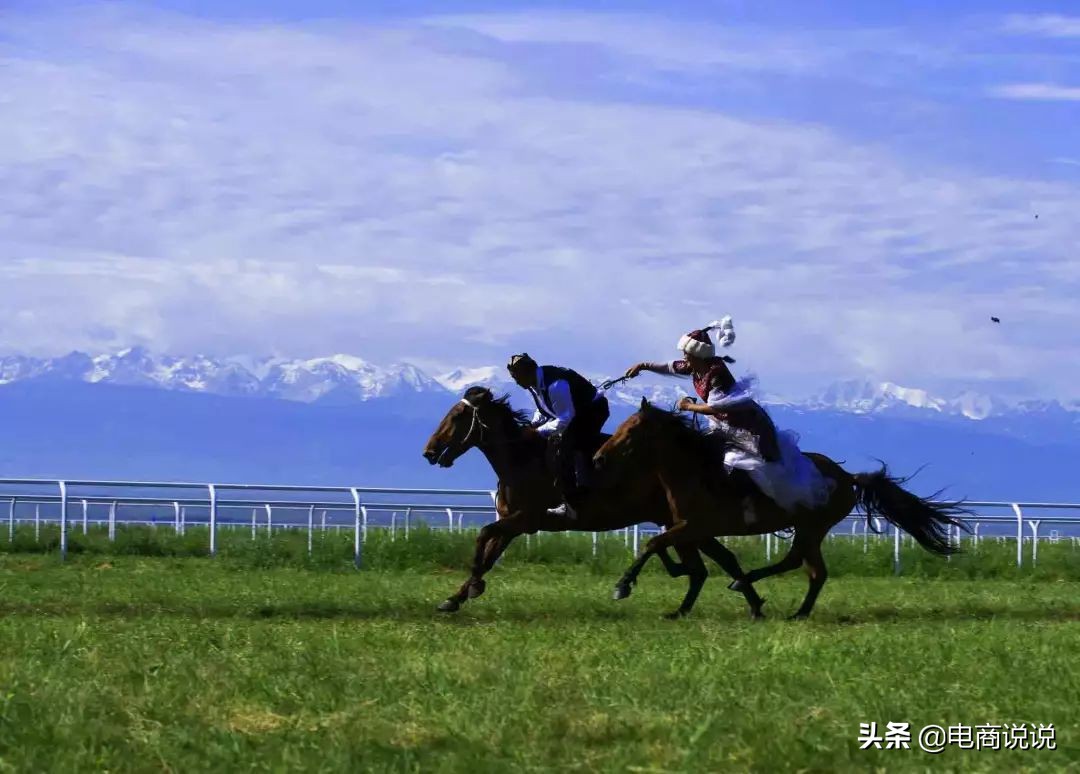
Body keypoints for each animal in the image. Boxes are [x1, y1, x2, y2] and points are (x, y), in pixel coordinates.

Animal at [416, 386, 764, 617]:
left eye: (458, 415)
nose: (429, 452)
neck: (521, 460)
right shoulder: (514, 524)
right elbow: (488, 555)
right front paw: (457, 596)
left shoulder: (525, 519)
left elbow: (484, 534)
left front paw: (471, 587)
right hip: (686, 525)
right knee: (716, 563)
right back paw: (752, 603)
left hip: (687, 524)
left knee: (710, 565)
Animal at [587, 401, 976, 617]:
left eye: (631, 430)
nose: (598, 458)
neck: (696, 471)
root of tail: (847, 476)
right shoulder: (689, 528)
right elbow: (675, 550)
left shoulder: (694, 526)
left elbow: (654, 544)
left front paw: (623, 586)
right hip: (811, 529)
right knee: (814, 571)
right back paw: (796, 611)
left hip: (813, 526)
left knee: (799, 562)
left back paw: (752, 586)